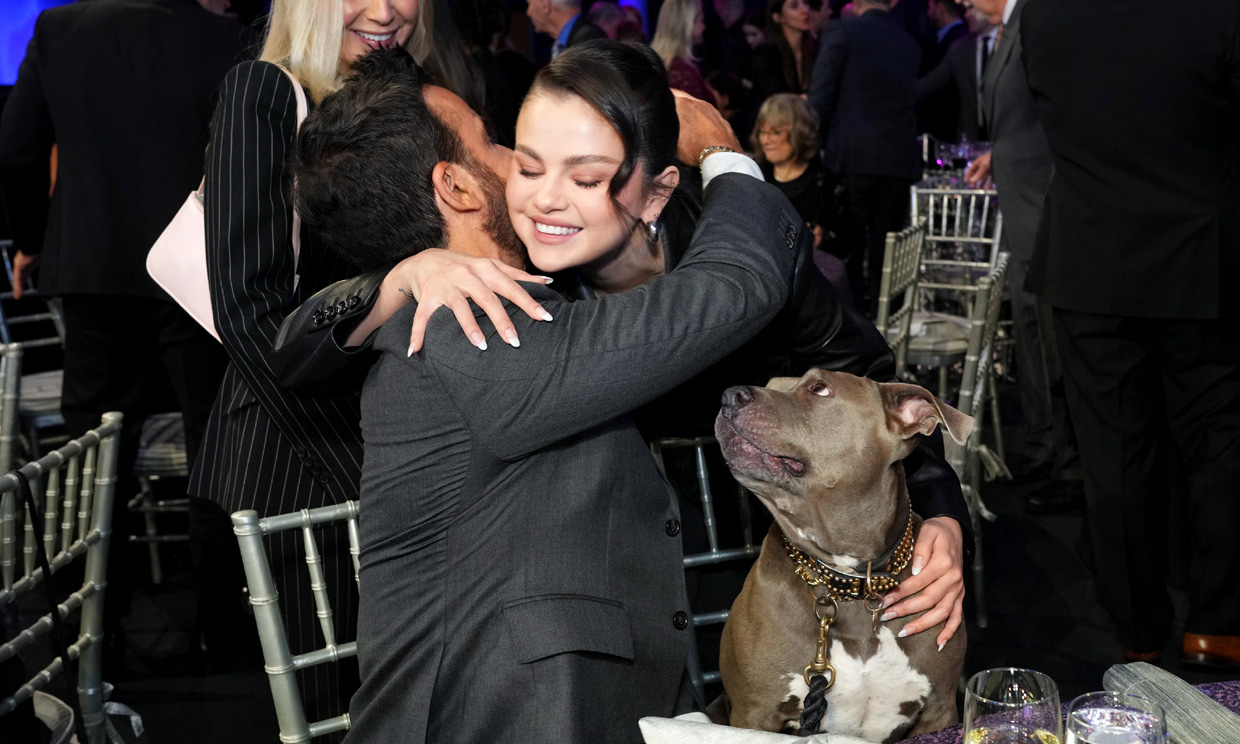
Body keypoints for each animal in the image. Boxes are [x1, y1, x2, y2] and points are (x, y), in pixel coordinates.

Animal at [714, 369, 972, 739]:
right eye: (771, 384)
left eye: (819, 388)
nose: (729, 395)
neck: (853, 580)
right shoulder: (753, 714)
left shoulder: (940, 711)